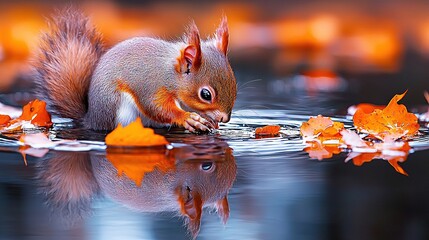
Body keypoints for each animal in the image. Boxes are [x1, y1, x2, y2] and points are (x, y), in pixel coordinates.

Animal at [31, 8, 236, 132]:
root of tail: (92, 119)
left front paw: (210, 122)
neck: (170, 73)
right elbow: (155, 107)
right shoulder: (151, 85)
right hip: (117, 110)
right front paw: (187, 118)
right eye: (206, 95)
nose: (224, 118)